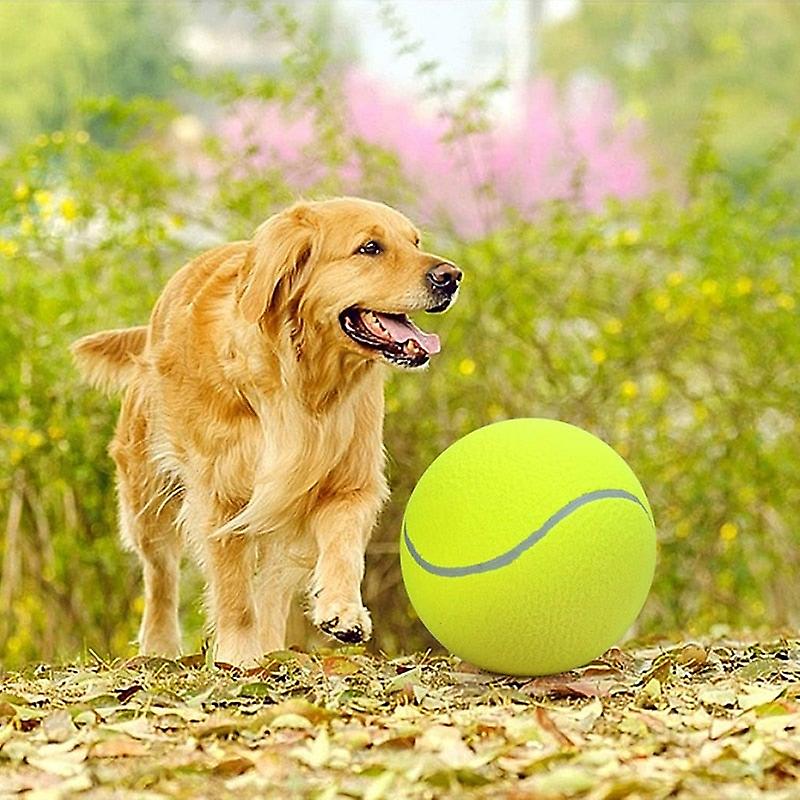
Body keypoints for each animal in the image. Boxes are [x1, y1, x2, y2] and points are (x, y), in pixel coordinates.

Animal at [75, 197, 462, 664]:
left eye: (415, 241)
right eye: (369, 248)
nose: (451, 277)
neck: (301, 382)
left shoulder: (349, 481)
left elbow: (343, 548)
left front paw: (343, 611)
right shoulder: (222, 496)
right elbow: (234, 593)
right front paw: (239, 655)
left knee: (273, 587)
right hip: (146, 496)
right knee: (160, 572)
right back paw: (161, 646)